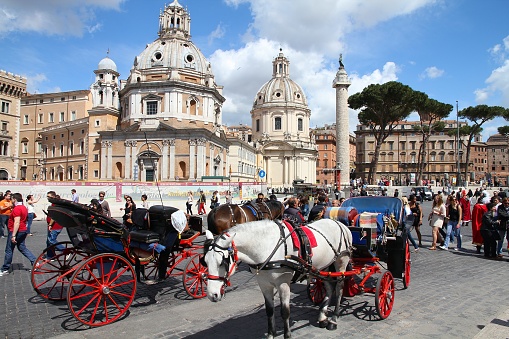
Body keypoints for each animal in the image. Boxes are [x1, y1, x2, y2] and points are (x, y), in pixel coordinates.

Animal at [201, 219, 350, 338]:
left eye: (222, 262)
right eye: (204, 262)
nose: (212, 295)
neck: (266, 247)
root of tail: (340, 223)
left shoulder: (283, 284)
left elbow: (285, 312)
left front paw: (287, 335)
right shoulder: (264, 284)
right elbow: (269, 310)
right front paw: (271, 335)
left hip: (341, 262)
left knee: (339, 288)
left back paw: (334, 319)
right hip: (324, 266)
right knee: (329, 287)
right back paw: (323, 317)